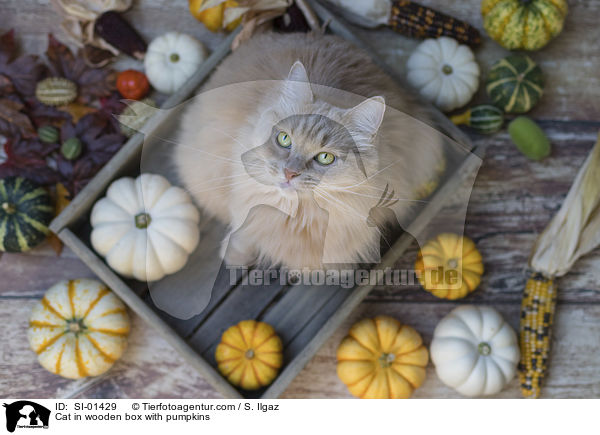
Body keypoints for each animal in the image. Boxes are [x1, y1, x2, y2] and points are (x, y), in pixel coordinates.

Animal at [173, 31, 440, 270]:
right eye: (284, 139)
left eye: (325, 157)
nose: (289, 173)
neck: (295, 215)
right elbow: (243, 232)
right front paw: (235, 256)